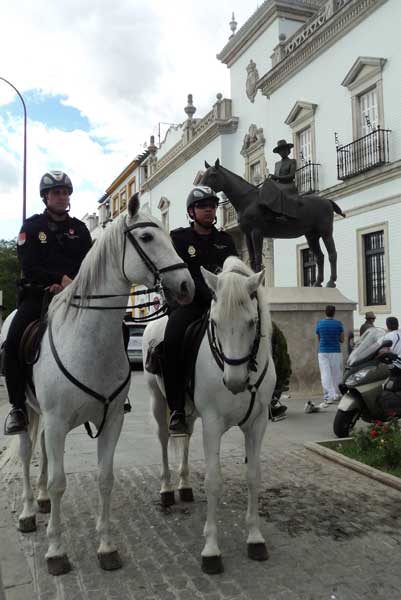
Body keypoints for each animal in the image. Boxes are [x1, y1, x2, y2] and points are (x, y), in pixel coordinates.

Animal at [1, 195, 194, 576]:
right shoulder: (58, 422)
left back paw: (41, 501)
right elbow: (60, 482)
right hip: (28, 410)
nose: (186, 286)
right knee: (28, 452)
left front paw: (106, 547)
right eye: (147, 237)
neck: (88, 340)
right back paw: (29, 511)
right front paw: (56, 551)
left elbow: (105, 478)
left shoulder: (111, 420)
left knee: (42, 453)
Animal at [142, 258, 276, 576]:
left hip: (189, 412)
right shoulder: (213, 424)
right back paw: (167, 489)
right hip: (158, 401)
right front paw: (212, 549)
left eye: (252, 322)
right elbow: (214, 481)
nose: (235, 381)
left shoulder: (257, 424)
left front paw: (255, 538)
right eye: (214, 323)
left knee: (185, 436)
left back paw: (184, 485)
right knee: (164, 440)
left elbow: (253, 476)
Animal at [202, 161, 346, 288]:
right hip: (312, 236)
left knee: (332, 254)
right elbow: (252, 259)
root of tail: (327, 201)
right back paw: (317, 283)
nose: (202, 189)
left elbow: (258, 258)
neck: (248, 201)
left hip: (326, 232)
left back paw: (331, 282)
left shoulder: (257, 232)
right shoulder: (247, 235)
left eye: (213, 174)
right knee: (320, 257)